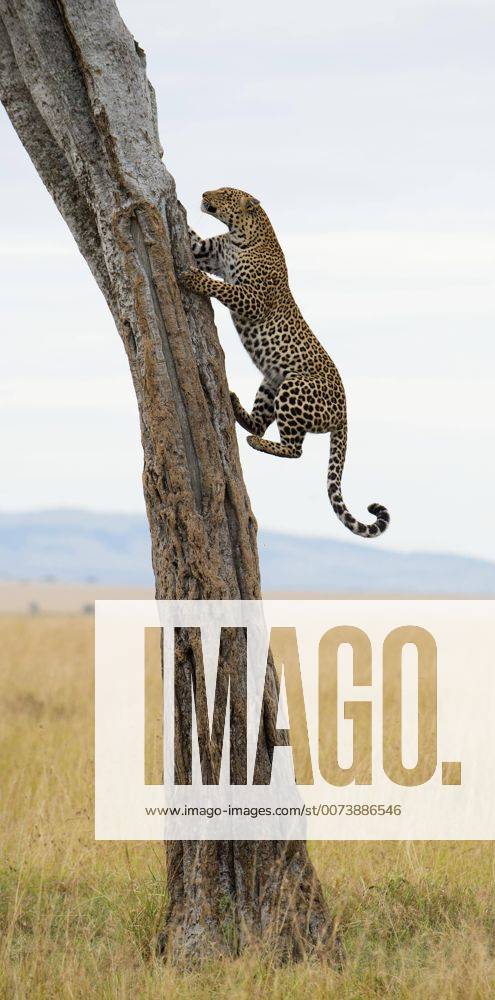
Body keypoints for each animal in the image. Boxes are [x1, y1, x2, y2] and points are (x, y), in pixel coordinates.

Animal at [179, 184, 392, 536]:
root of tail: (346, 413)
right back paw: (236, 405)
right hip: (271, 383)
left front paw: (193, 279)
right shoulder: (209, 251)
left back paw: (255, 442)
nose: (204, 194)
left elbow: (222, 287)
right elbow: (194, 239)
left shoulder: (251, 297)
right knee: (262, 422)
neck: (241, 234)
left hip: (294, 385)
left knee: (295, 450)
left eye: (225, 193)